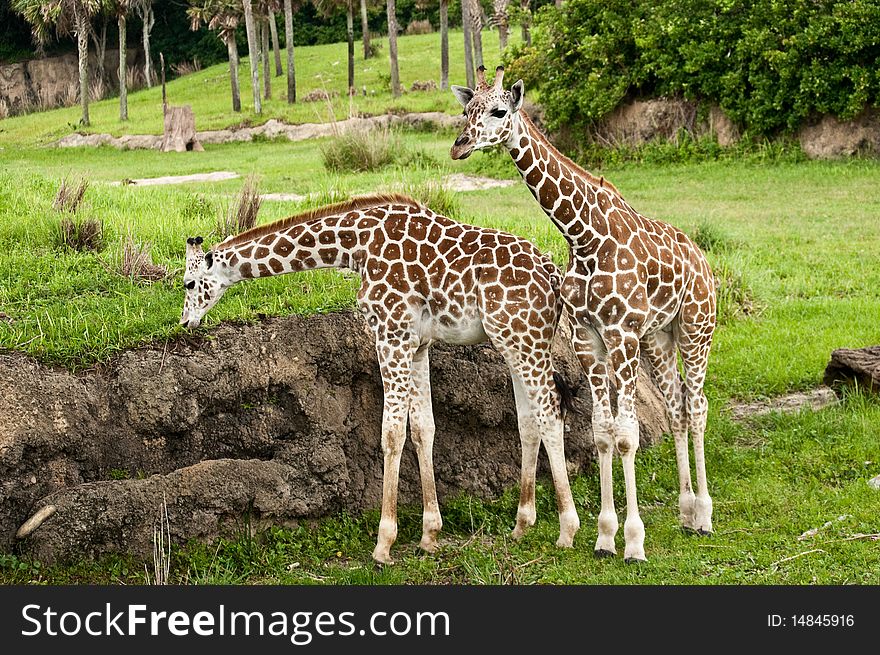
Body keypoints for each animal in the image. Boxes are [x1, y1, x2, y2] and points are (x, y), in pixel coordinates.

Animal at [179, 193, 580, 564]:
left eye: (188, 283)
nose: (184, 322)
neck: (355, 245)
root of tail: (552, 273)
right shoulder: (418, 343)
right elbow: (423, 429)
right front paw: (429, 535)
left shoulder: (390, 332)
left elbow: (391, 433)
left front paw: (384, 544)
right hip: (516, 342)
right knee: (529, 420)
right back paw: (522, 524)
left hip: (522, 338)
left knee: (551, 411)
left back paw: (567, 531)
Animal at [446, 66, 716, 560]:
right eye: (466, 110)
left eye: (499, 111)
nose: (459, 145)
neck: (582, 236)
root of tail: (702, 258)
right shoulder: (588, 337)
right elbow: (601, 431)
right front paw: (605, 536)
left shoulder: (621, 334)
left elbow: (626, 434)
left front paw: (633, 543)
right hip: (659, 337)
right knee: (676, 407)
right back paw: (687, 512)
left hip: (695, 328)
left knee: (699, 404)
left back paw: (705, 515)